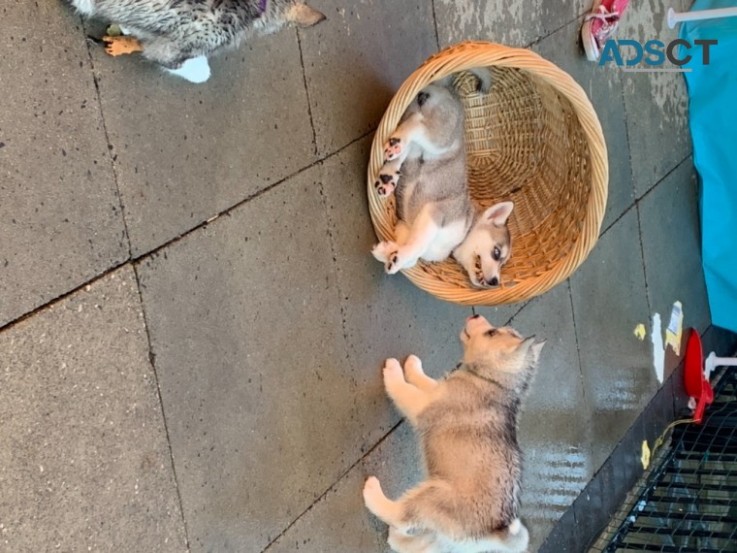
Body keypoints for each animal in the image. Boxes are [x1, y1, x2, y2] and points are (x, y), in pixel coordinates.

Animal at [360, 314, 540, 552]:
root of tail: (496, 532)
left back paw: (373, 492)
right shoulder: (437, 390)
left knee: (402, 516)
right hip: (441, 533)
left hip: (434, 497)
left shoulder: (423, 405)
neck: (492, 381)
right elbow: (426, 380)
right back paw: (396, 538)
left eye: (491, 333)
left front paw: (394, 371)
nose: (475, 314)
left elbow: (403, 389)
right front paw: (412, 366)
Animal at [370, 69, 516, 288]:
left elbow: (412, 251)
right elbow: (418, 246)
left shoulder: (406, 226)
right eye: (497, 253)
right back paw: (397, 144)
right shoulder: (434, 213)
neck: (464, 232)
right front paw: (395, 257)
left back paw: (388, 175)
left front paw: (388, 252)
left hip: (423, 144)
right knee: (416, 125)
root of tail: (447, 88)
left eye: (503, 263)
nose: (494, 282)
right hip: (441, 140)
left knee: (410, 135)